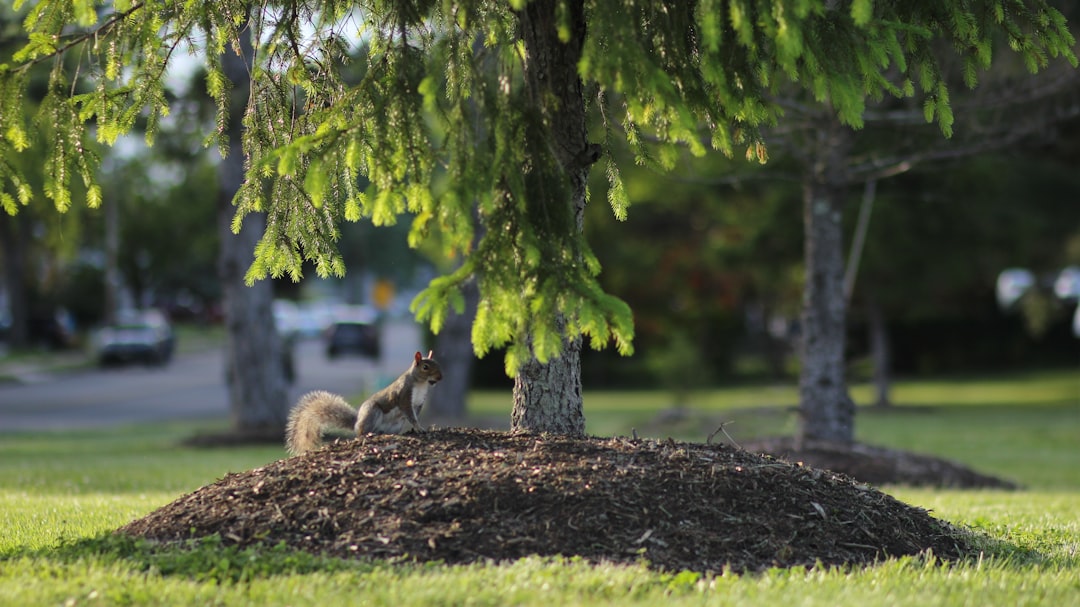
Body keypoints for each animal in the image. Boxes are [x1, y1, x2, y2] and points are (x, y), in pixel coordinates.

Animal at [285, 349, 444, 453]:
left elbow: (414, 415)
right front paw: (419, 428)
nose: (440, 378)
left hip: (396, 424)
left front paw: (418, 427)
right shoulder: (404, 396)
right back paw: (370, 433)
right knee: (362, 432)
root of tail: (356, 423)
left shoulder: (418, 402)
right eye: (425, 367)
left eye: (437, 363)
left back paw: (383, 433)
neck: (421, 384)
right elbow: (410, 415)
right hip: (373, 412)